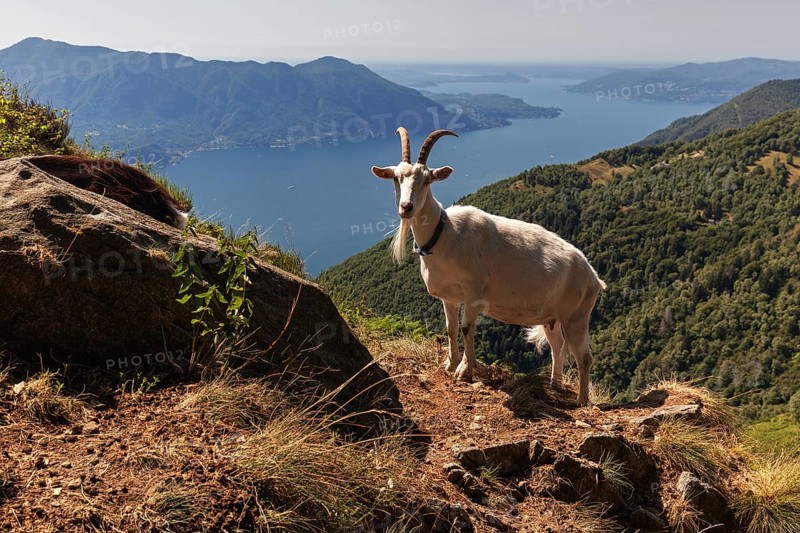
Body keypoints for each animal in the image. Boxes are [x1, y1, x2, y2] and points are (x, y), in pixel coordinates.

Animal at [371, 128, 606, 405]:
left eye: (427, 180)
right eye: (396, 178)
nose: (406, 208)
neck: (444, 234)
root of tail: (593, 277)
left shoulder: (473, 290)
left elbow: (466, 327)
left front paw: (465, 370)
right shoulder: (449, 296)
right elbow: (450, 328)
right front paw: (450, 364)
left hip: (577, 315)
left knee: (585, 357)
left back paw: (582, 401)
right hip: (553, 318)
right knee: (557, 348)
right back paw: (554, 385)